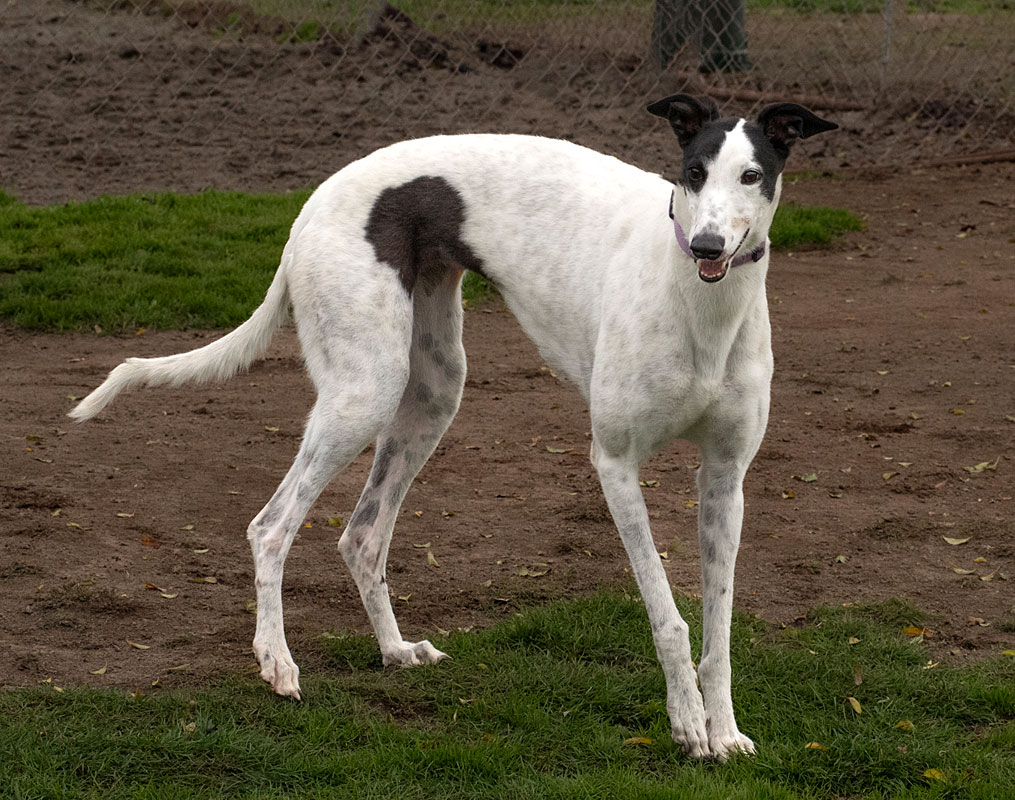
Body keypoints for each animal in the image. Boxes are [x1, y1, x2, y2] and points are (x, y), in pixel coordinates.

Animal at [69, 95, 832, 763]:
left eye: (752, 175)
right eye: (692, 172)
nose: (706, 244)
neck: (699, 306)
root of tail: (308, 209)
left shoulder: (725, 478)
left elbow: (718, 624)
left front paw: (724, 731)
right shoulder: (615, 462)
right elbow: (668, 615)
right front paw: (686, 727)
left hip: (431, 394)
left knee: (361, 534)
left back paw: (393, 650)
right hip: (364, 391)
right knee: (271, 526)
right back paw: (277, 662)